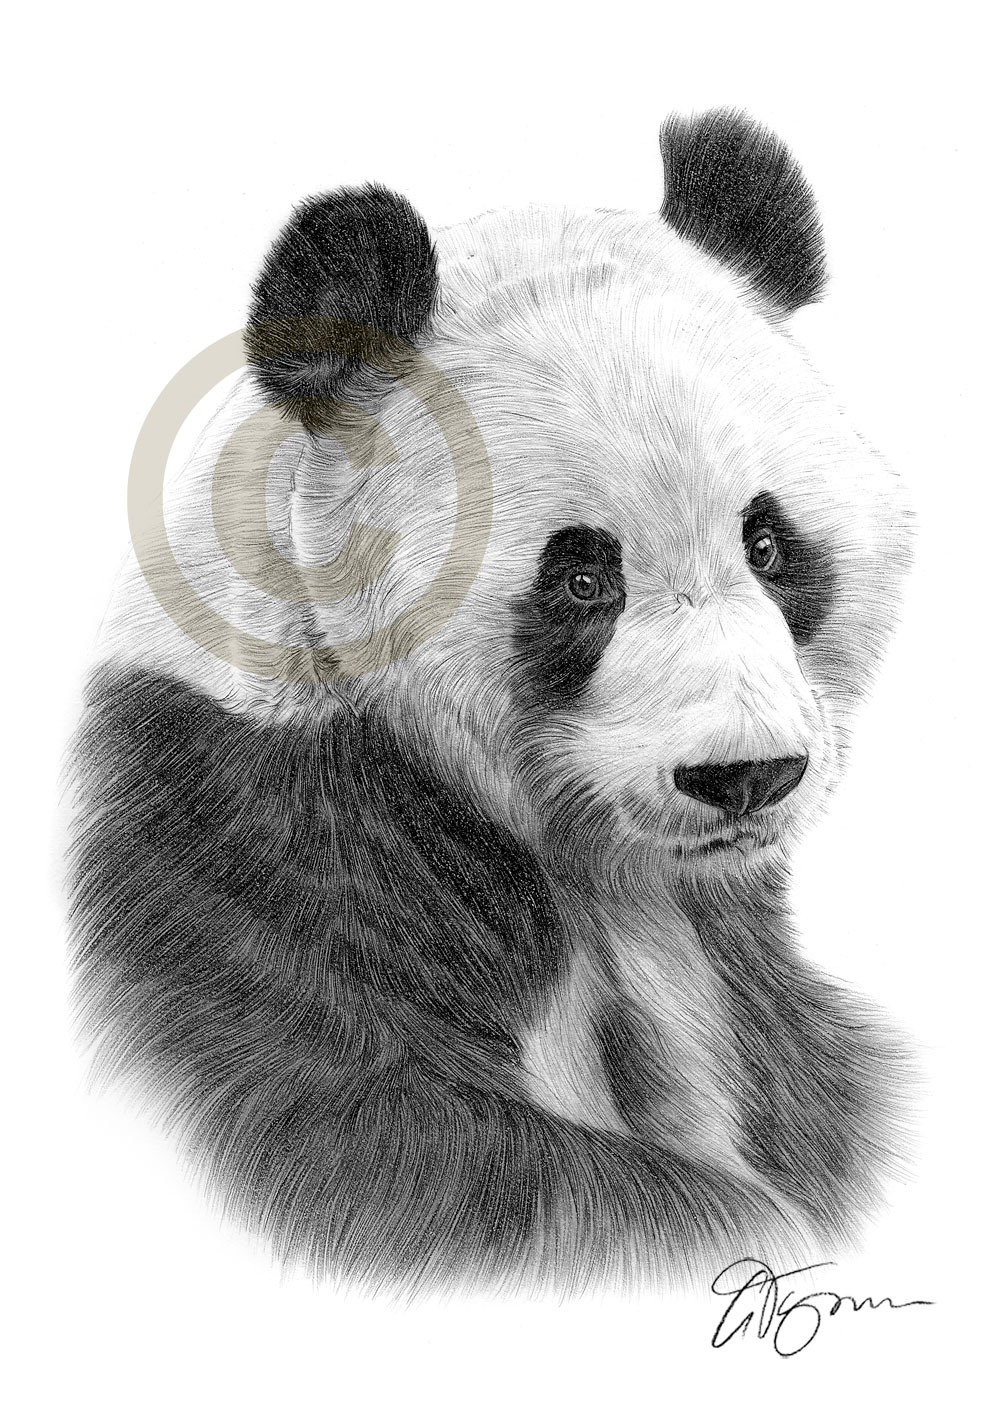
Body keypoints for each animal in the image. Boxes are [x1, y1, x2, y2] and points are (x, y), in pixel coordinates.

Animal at [68, 108, 913, 1296]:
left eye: (768, 544)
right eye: (581, 578)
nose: (743, 774)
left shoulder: (729, 966)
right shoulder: (255, 865)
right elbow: (412, 1151)